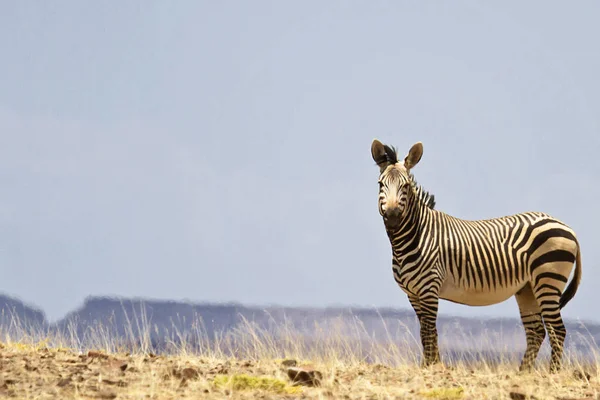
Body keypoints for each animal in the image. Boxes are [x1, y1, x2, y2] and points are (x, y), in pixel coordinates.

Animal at [370, 140, 580, 372]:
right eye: (380, 185)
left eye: (405, 186)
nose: (392, 217)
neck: (415, 236)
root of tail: (566, 226)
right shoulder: (413, 294)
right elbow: (425, 333)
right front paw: (428, 367)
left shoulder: (429, 289)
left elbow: (429, 332)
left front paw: (432, 368)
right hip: (528, 288)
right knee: (537, 331)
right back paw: (523, 373)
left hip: (548, 280)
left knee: (557, 330)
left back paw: (552, 374)